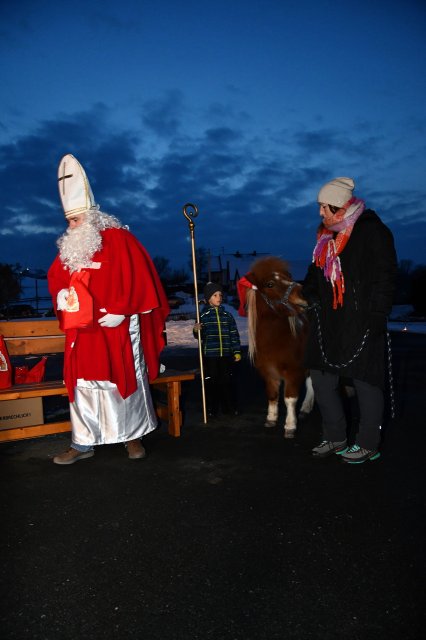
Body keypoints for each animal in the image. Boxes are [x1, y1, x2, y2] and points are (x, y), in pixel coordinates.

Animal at [240, 258, 312, 438]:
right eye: (270, 284)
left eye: (288, 276)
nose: (303, 294)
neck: (274, 341)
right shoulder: (267, 372)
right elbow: (272, 395)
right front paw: (271, 419)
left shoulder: (293, 371)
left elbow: (290, 399)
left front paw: (290, 426)